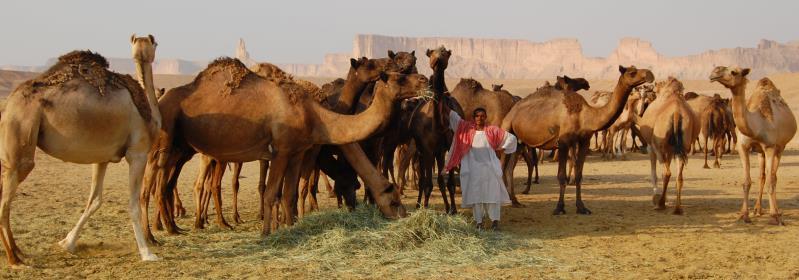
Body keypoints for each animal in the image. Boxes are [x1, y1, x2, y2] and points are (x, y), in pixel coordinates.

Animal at [0, 35, 162, 266]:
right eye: (156, 44)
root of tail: (10, 103)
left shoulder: (102, 157)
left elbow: (94, 200)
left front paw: (66, 243)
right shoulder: (137, 153)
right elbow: (133, 204)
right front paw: (147, 253)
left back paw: (18, 252)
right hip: (20, 136)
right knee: (7, 197)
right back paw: (14, 259)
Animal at [504, 66, 652, 214]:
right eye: (632, 72)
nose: (649, 74)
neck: (585, 115)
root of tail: (513, 109)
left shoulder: (584, 142)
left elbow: (579, 174)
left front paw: (581, 207)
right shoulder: (563, 143)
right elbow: (561, 176)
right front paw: (559, 207)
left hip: (519, 142)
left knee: (509, 169)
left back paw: (515, 201)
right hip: (507, 128)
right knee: (503, 164)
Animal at [636, 77, 700, 214]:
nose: (640, 111)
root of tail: (676, 113)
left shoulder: (651, 147)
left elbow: (654, 174)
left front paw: (655, 197)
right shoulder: (671, 150)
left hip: (659, 147)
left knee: (666, 173)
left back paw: (660, 204)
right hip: (683, 147)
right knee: (679, 176)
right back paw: (677, 208)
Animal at [708, 66, 796, 224]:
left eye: (734, 72)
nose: (715, 71)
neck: (758, 125)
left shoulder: (770, 147)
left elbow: (771, 181)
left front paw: (774, 215)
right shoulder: (743, 147)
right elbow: (747, 182)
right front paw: (744, 214)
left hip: (780, 148)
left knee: (773, 176)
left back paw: (777, 211)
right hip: (761, 153)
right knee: (762, 176)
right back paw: (757, 209)